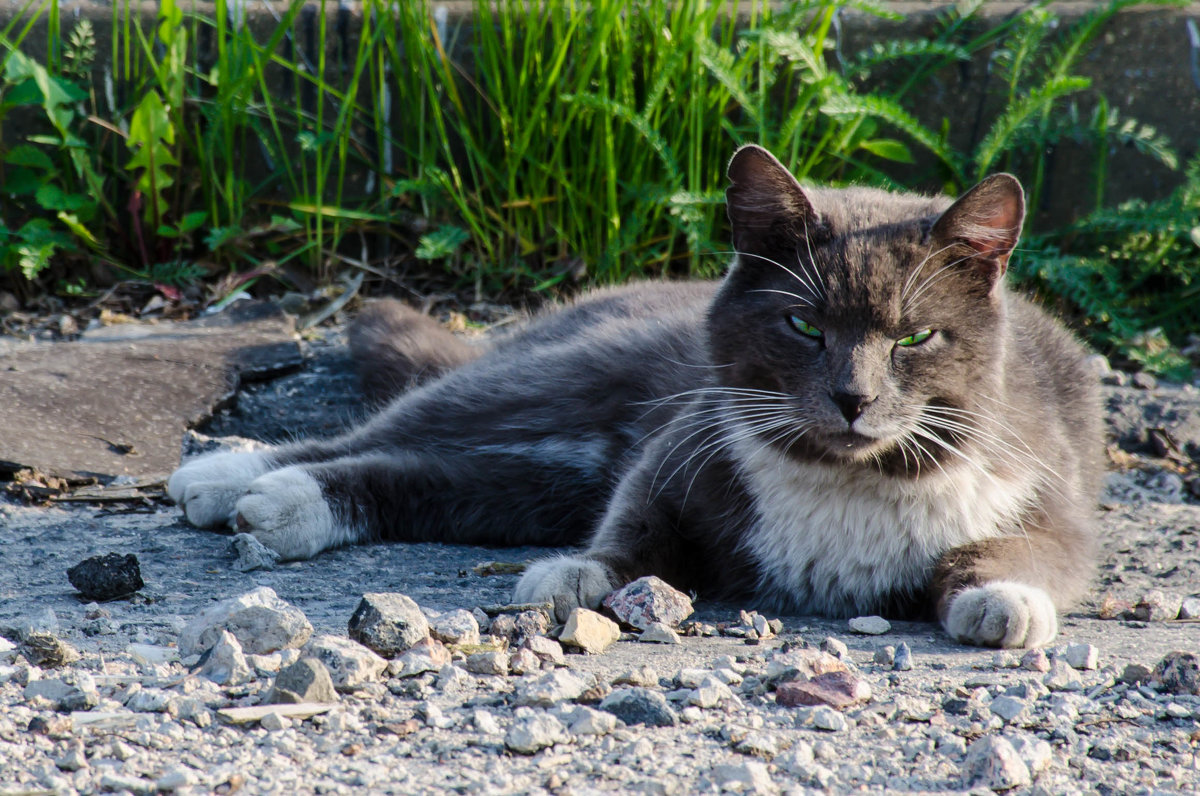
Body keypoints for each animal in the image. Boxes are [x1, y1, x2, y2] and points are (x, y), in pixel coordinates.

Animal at [166, 147, 1099, 648]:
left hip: (541, 476)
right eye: (803, 325)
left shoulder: (1049, 490)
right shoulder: (685, 442)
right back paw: (234, 478)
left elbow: (1032, 552)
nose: (854, 396)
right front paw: (579, 575)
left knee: (429, 476)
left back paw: (280, 504)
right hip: (556, 383)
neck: (850, 479)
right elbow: (637, 526)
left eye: (914, 338)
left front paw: (1003, 600)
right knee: (387, 430)